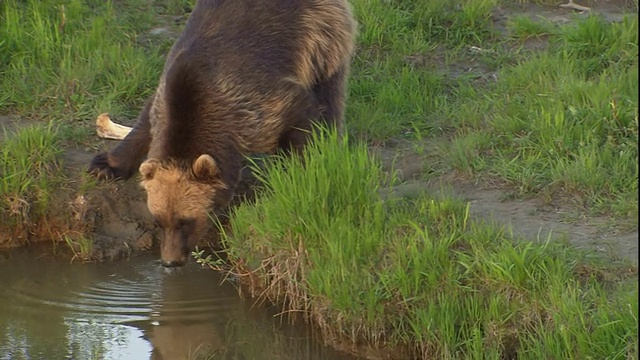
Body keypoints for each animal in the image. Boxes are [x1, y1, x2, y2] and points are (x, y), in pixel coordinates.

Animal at [87, 0, 358, 268]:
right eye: (159, 220)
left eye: (185, 221)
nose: (170, 261)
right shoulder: (166, 95)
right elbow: (145, 122)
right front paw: (104, 165)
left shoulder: (259, 104)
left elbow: (303, 119)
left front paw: (303, 169)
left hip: (319, 33)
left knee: (330, 85)